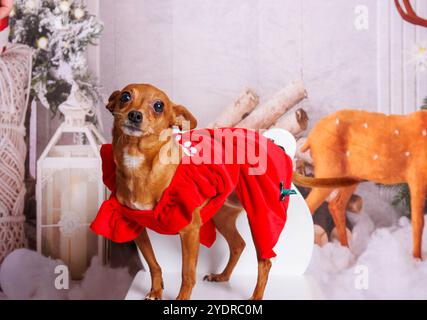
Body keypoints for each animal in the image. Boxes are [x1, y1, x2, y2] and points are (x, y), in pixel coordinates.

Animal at [107, 84, 270, 300]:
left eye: (159, 106)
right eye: (125, 97)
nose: (134, 115)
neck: (137, 164)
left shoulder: (190, 231)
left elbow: (187, 274)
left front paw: (181, 298)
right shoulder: (136, 226)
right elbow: (153, 264)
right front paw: (156, 291)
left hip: (260, 219)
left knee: (264, 261)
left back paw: (256, 296)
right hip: (223, 218)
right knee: (238, 245)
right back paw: (222, 277)